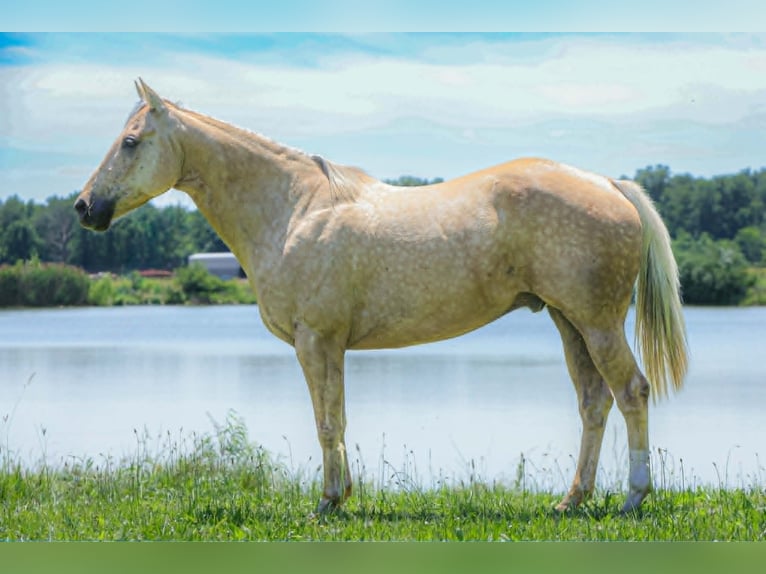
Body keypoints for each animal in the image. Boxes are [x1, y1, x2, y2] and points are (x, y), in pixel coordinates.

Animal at [75, 79, 688, 514]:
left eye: (130, 142)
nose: (84, 206)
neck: (293, 209)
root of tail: (608, 183)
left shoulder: (315, 341)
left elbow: (326, 421)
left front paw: (327, 502)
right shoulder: (329, 346)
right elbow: (337, 418)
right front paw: (342, 495)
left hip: (598, 322)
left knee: (631, 392)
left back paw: (633, 497)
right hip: (569, 322)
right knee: (594, 402)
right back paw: (572, 499)